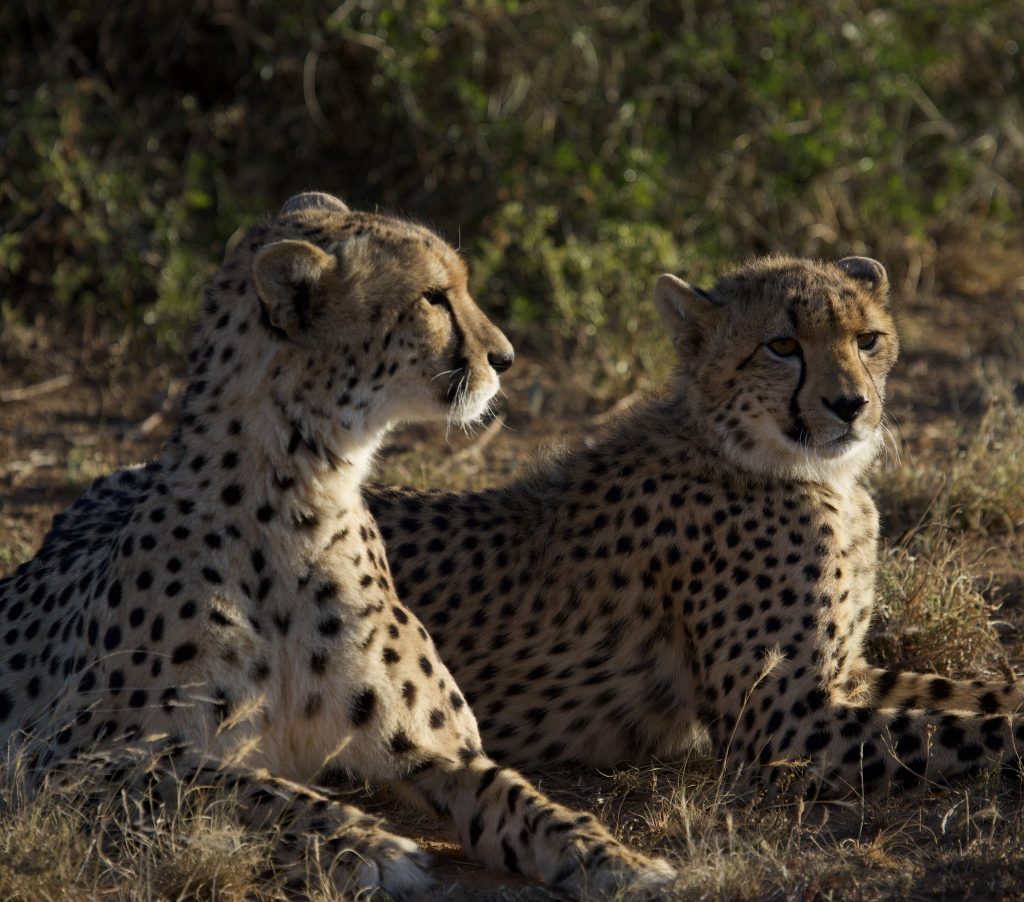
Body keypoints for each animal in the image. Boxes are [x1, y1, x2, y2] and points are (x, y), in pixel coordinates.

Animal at [0, 191, 676, 897]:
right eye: (433, 298)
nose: (506, 358)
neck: (301, 499)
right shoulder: (66, 761)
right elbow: (235, 785)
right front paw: (367, 845)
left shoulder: (437, 749)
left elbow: (521, 797)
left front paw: (614, 858)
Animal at [369, 254, 1024, 799]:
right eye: (782, 345)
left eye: (868, 340)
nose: (851, 405)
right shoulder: (781, 726)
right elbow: (966, 729)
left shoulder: (844, 675)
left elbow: (961, 693)